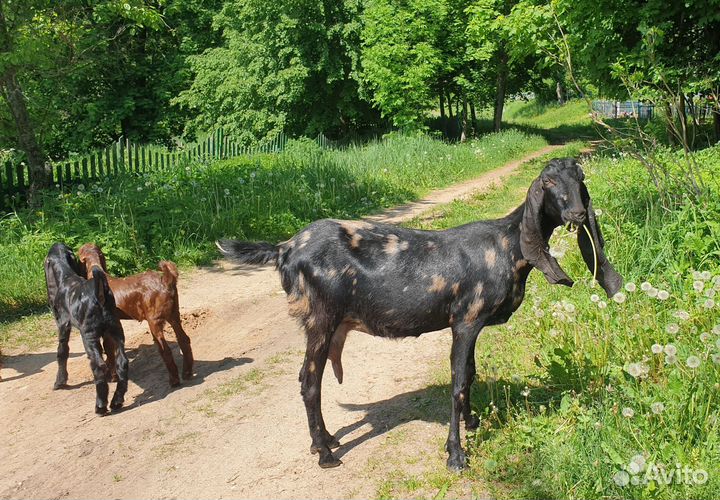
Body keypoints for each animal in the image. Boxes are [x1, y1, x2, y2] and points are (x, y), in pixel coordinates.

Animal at [45, 243, 129, 414]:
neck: (66, 276)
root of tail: (100, 294)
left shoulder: (63, 324)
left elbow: (62, 352)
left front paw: (60, 381)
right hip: (116, 330)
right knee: (122, 362)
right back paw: (117, 400)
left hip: (89, 335)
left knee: (98, 366)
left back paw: (100, 406)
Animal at [77, 244, 193, 387]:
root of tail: (165, 280)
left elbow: (108, 350)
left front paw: (113, 377)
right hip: (174, 315)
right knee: (184, 339)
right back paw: (187, 373)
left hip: (154, 321)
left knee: (165, 349)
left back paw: (174, 380)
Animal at [216, 158, 622, 471]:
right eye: (549, 182)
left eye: (580, 179)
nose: (578, 213)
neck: (507, 244)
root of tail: (284, 249)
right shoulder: (466, 319)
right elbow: (457, 383)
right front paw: (455, 455)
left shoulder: (469, 325)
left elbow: (470, 374)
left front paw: (473, 423)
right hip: (320, 319)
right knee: (309, 381)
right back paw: (325, 453)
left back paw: (328, 439)